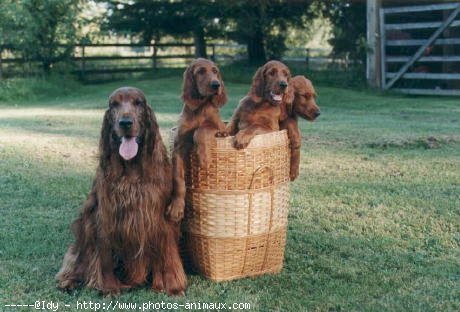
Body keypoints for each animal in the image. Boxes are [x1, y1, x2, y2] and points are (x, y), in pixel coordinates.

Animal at [167, 58, 228, 223]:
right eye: (200, 71)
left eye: (215, 71)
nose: (216, 85)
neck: (200, 107)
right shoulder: (178, 147)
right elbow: (178, 179)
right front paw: (176, 207)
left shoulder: (218, 127)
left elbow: (200, 130)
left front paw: (204, 158)